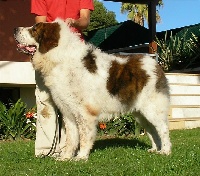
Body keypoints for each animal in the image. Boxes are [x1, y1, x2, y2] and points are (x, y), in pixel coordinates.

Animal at [14, 18, 171, 160]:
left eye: (34, 29)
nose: (15, 29)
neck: (60, 58)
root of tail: (155, 64)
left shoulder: (85, 112)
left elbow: (84, 136)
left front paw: (81, 157)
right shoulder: (68, 112)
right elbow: (71, 138)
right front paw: (65, 157)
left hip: (152, 109)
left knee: (163, 129)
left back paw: (165, 151)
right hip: (140, 113)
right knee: (152, 130)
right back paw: (155, 149)